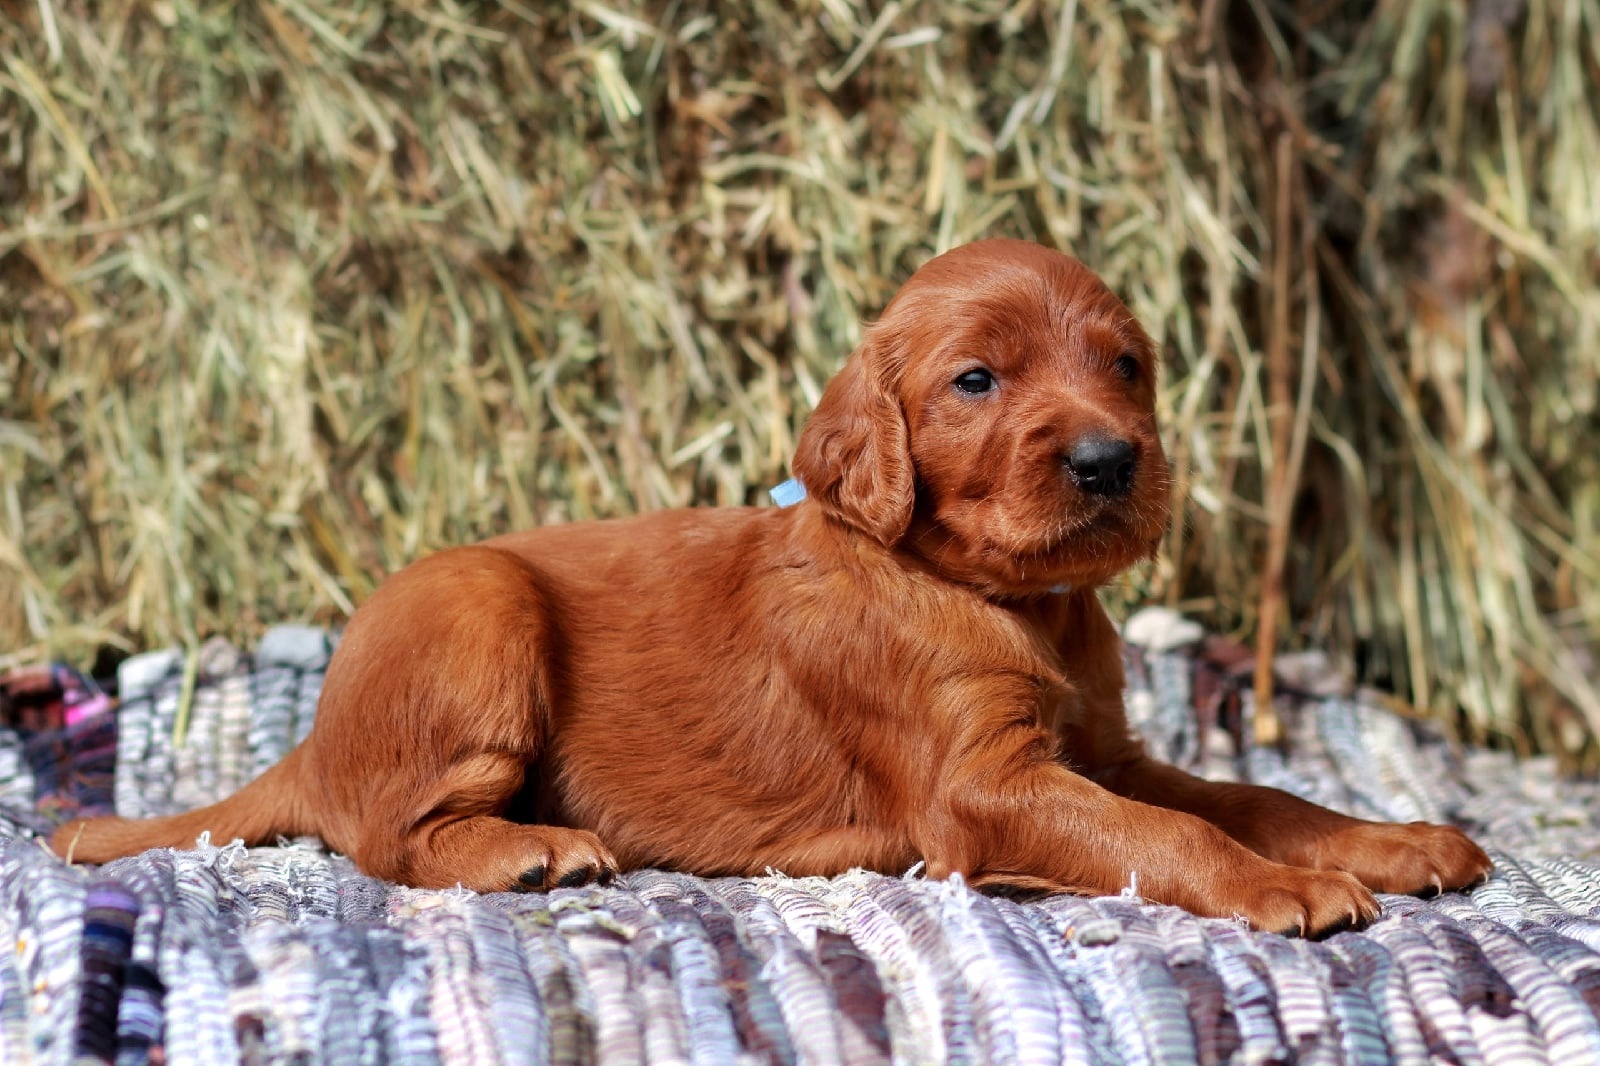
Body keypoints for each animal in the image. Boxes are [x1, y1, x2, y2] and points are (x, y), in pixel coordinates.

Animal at [53, 238, 1497, 928]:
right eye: (977, 379)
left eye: (1126, 364)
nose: (1107, 457)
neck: (995, 596)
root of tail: (315, 737)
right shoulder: (988, 785)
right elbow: (1172, 835)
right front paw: (1280, 889)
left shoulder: (1104, 752)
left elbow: (1253, 795)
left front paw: (1394, 839)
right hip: (476, 605)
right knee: (387, 835)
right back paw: (529, 850)